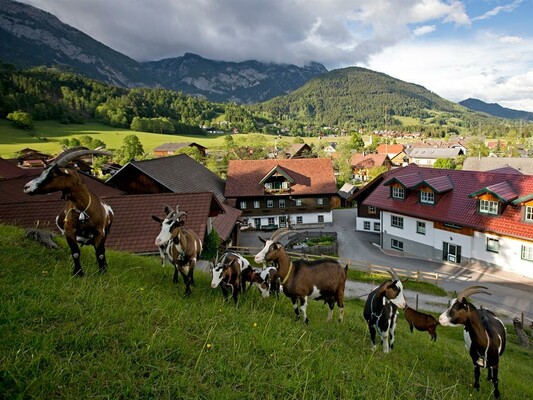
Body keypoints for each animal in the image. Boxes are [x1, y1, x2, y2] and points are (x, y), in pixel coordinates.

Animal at [24, 146, 114, 276]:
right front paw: (78, 273)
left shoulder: (100, 232)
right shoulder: (69, 231)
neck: (83, 210)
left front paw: (103, 272)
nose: (27, 187)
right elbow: (75, 253)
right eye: (43, 171)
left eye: (54, 173)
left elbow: (101, 254)